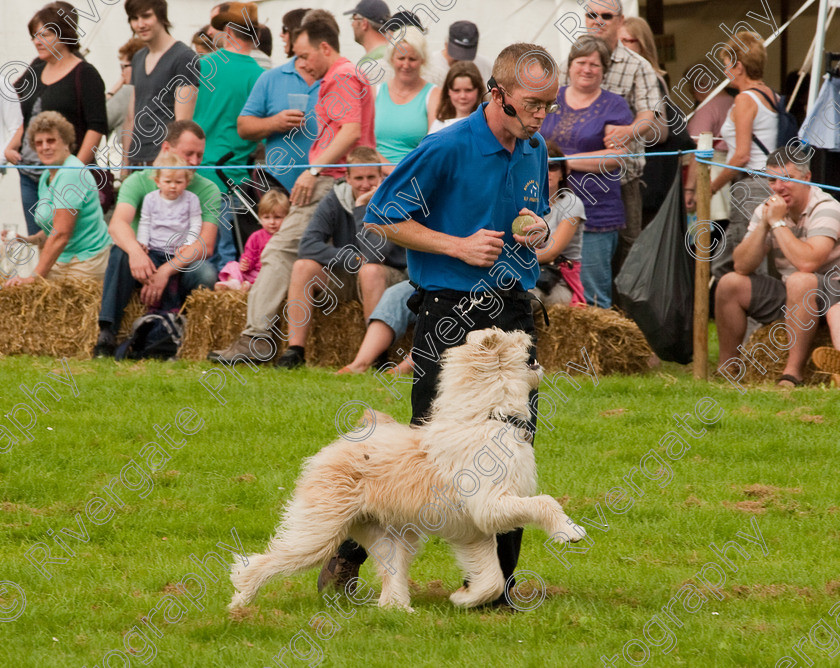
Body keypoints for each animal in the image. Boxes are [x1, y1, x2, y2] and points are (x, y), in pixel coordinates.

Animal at [228, 326, 584, 612]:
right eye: (511, 337)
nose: (529, 333)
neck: (487, 417)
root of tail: (340, 445)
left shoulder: (476, 530)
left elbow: (491, 578)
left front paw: (464, 599)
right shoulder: (490, 505)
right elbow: (544, 502)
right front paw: (569, 530)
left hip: (391, 538)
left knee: (391, 578)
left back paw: (400, 611)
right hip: (318, 532)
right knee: (262, 562)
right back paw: (241, 602)